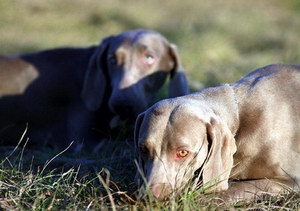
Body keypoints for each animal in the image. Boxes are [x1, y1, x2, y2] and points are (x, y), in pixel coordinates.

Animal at [135, 64, 300, 201]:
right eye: (143, 149)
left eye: (182, 153)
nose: (149, 197)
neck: (239, 117)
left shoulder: (292, 180)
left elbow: (237, 188)